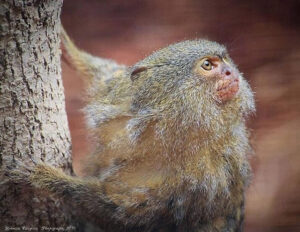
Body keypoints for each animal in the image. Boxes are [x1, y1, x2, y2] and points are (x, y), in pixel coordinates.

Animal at [10, 27, 255, 232]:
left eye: (224, 62)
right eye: (208, 65)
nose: (230, 72)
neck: (164, 128)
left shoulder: (200, 178)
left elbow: (122, 214)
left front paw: (45, 178)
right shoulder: (122, 95)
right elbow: (109, 72)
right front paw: (65, 43)